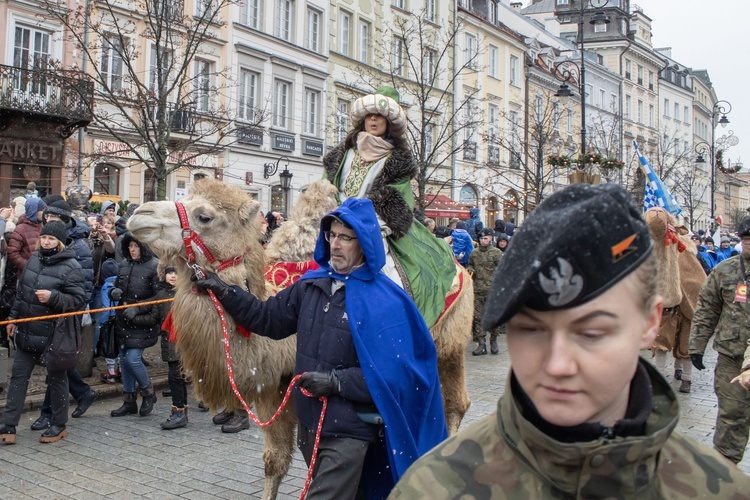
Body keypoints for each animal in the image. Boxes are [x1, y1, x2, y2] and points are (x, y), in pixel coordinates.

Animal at [127, 178, 472, 498]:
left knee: (456, 403)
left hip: (451, 342)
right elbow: (274, 460)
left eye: (205, 216)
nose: (139, 215)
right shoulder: (274, 387)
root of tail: (459, 265)